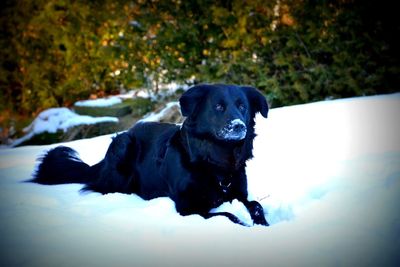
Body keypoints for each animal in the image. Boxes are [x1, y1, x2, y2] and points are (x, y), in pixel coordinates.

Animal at [32, 84, 268, 226]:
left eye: (242, 107)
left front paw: (262, 223)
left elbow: (256, 205)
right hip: (123, 145)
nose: (238, 126)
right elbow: (227, 214)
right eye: (218, 107)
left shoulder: (238, 194)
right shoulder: (188, 207)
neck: (215, 163)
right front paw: (243, 224)